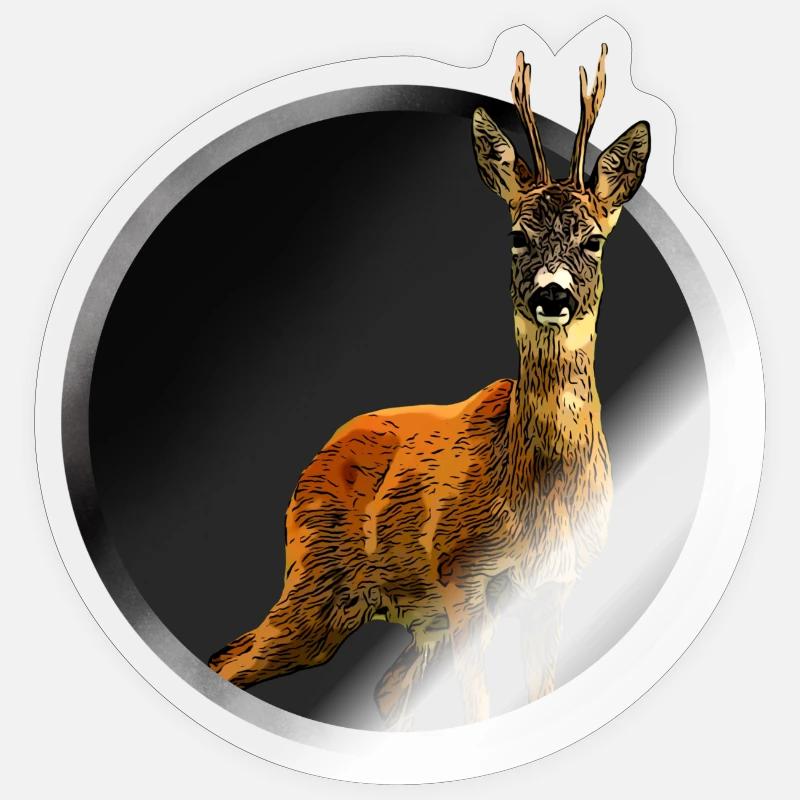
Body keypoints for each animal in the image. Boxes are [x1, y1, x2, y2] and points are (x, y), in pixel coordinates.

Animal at [208, 44, 650, 728]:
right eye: (516, 234)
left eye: (594, 240)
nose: (552, 295)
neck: (535, 494)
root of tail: (317, 455)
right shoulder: (461, 574)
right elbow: (479, 708)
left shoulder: (555, 585)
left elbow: (534, 695)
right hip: (315, 585)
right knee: (230, 660)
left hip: (411, 619)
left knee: (386, 692)